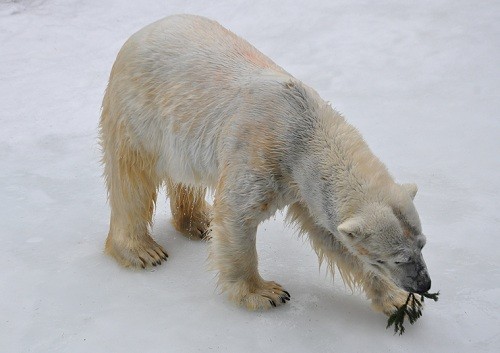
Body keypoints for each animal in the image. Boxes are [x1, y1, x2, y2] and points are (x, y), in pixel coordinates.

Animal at [99, 15, 432, 314]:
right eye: (397, 258)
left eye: (422, 244)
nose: (424, 284)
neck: (302, 128)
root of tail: (143, 31)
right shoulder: (259, 153)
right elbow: (236, 215)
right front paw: (266, 293)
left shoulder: (304, 186)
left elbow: (333, 238)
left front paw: (399, 302)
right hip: (138, 111)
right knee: (131, 180)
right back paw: (142, 250)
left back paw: (200, 223)